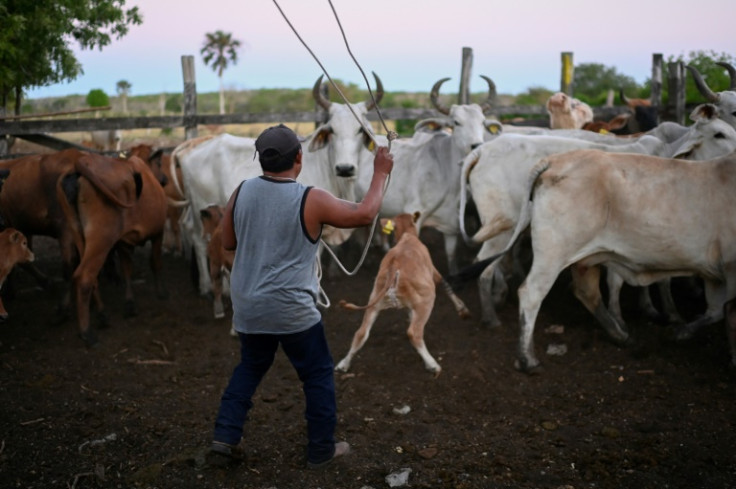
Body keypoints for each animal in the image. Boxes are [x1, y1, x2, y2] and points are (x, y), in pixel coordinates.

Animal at [170, 74, 382, 296]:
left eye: (361, 130)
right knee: (199, 239)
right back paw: (206, 285)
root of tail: (191, 148)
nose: (345, 168)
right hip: (200, 208)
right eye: (332, 130)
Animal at [334, 212, 472, 376]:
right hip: (426, 300)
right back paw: (432, 365)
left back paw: (343, 364)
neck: (407, 236)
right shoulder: (433, 271)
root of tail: (394, 266)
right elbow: (446, 284)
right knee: (414, 332)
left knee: (361, 333)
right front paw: (463, 310)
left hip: (375, 300)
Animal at [356, 76, 500, 274]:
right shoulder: (414, 215)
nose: (476, 145)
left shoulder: (451, 226)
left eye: (482, 122)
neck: (445, 172)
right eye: (456, 122)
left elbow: (451, 255)